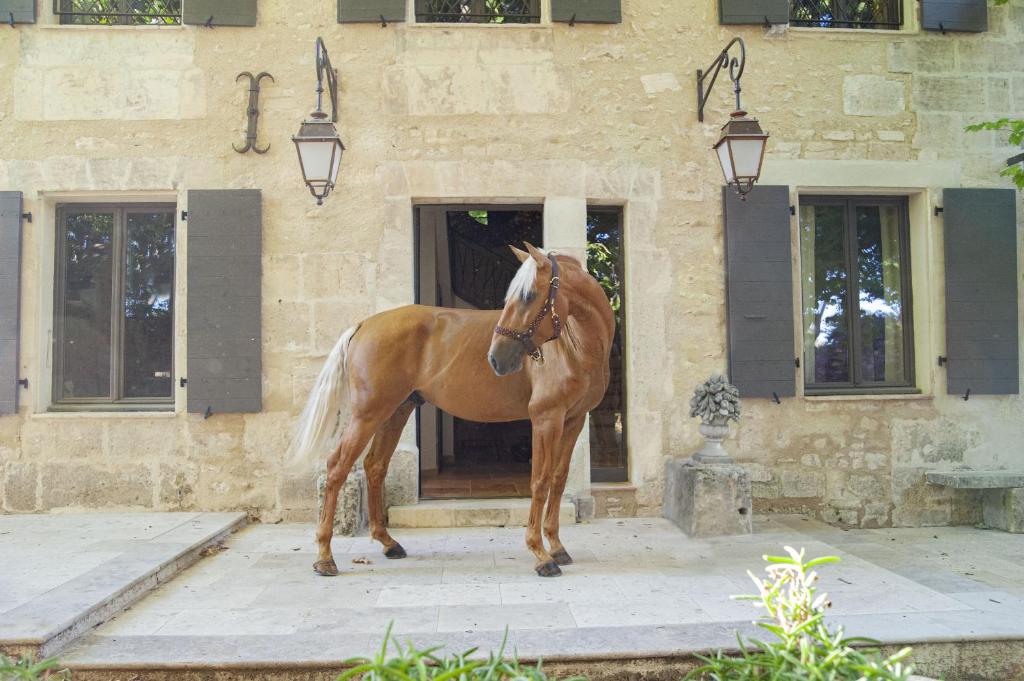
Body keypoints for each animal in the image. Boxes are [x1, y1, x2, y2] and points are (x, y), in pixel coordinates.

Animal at [288, 241, 610, 577]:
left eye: (529, 296)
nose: (495, 359)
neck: (576, 348)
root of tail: (364, 324)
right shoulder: (546, 418)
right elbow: (540, 481)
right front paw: (541, 555)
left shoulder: (573, 420)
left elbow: (558, 479)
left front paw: (557, 547)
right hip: (368, 415)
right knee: (337, 467)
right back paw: (325, 556)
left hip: (396, 411)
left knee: (375, 466)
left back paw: (388, 543)